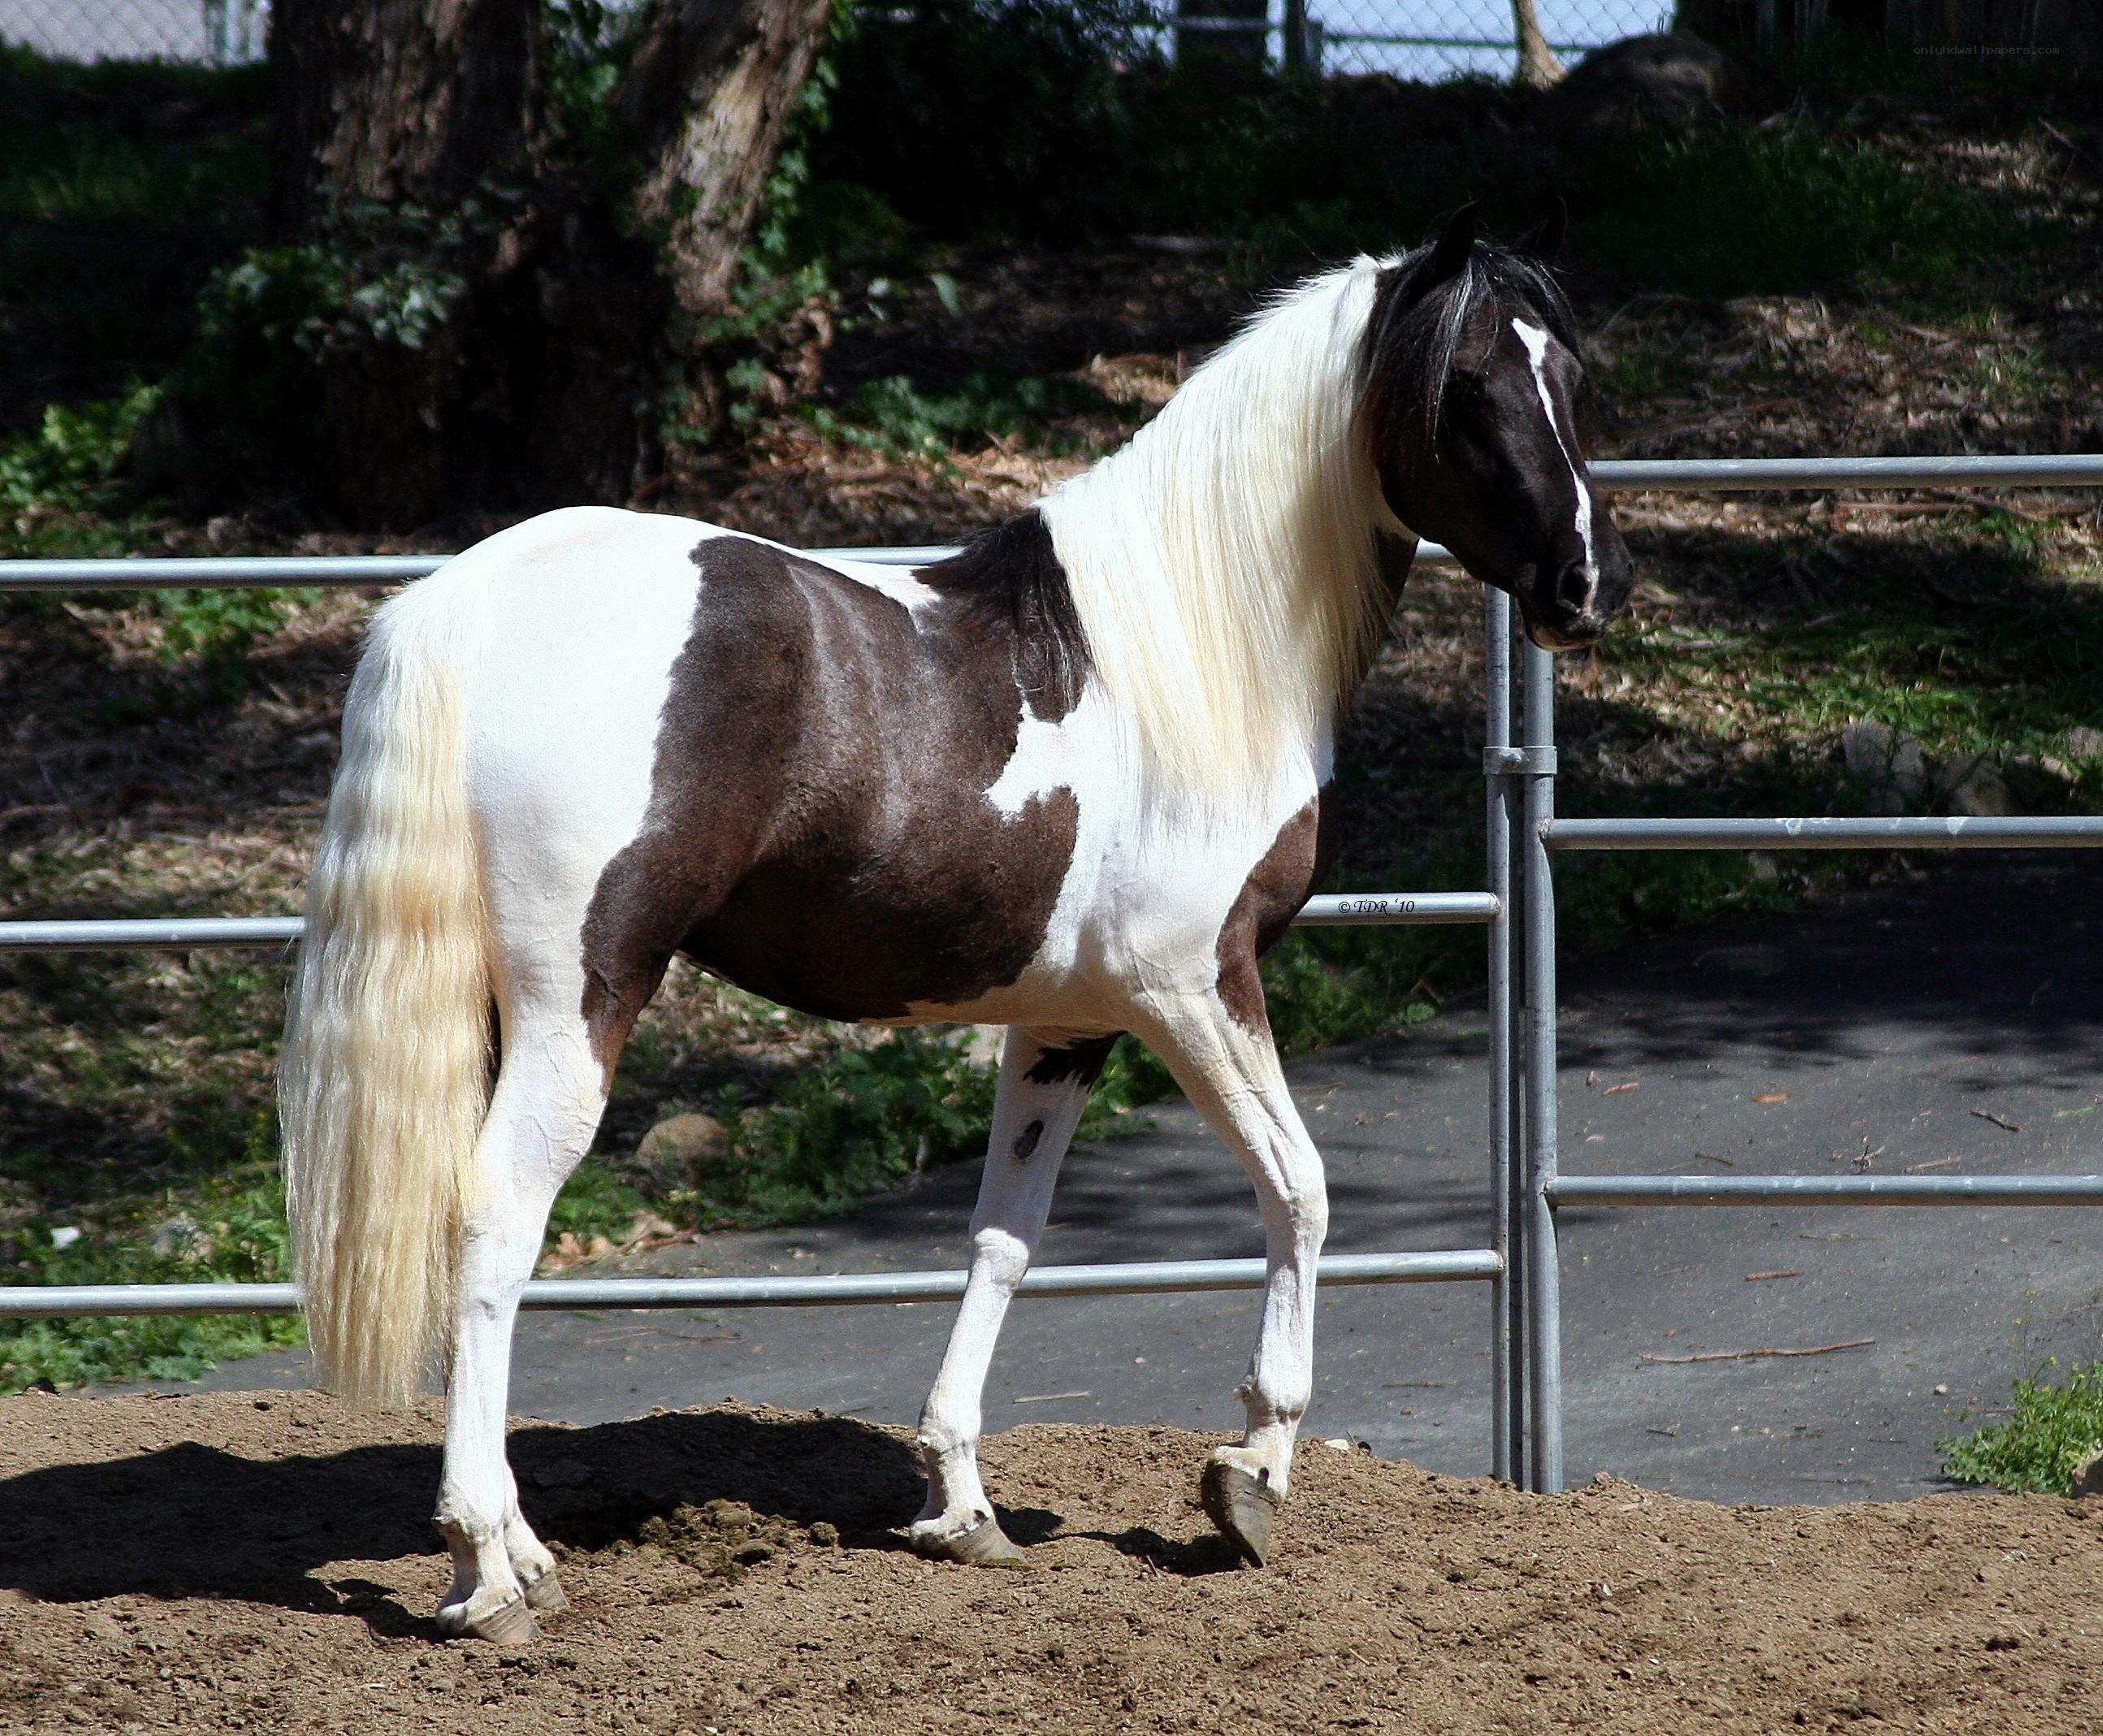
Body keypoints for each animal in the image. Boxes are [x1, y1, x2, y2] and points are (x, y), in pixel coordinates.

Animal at [277, 204, 1632, 1643]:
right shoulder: (1193, 987)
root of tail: (467, 598)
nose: (1587, 582)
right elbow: (1301, 1189)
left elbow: (1004, 1240)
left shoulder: (1065, 1024)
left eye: (1572, 374)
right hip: (579, 996)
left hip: (497, 1004)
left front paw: (960, 1504)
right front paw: (1251, 1476)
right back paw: (489, 1566)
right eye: (1470, 387)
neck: (1192, 651)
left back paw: (524, 1553)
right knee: (492, 1222)